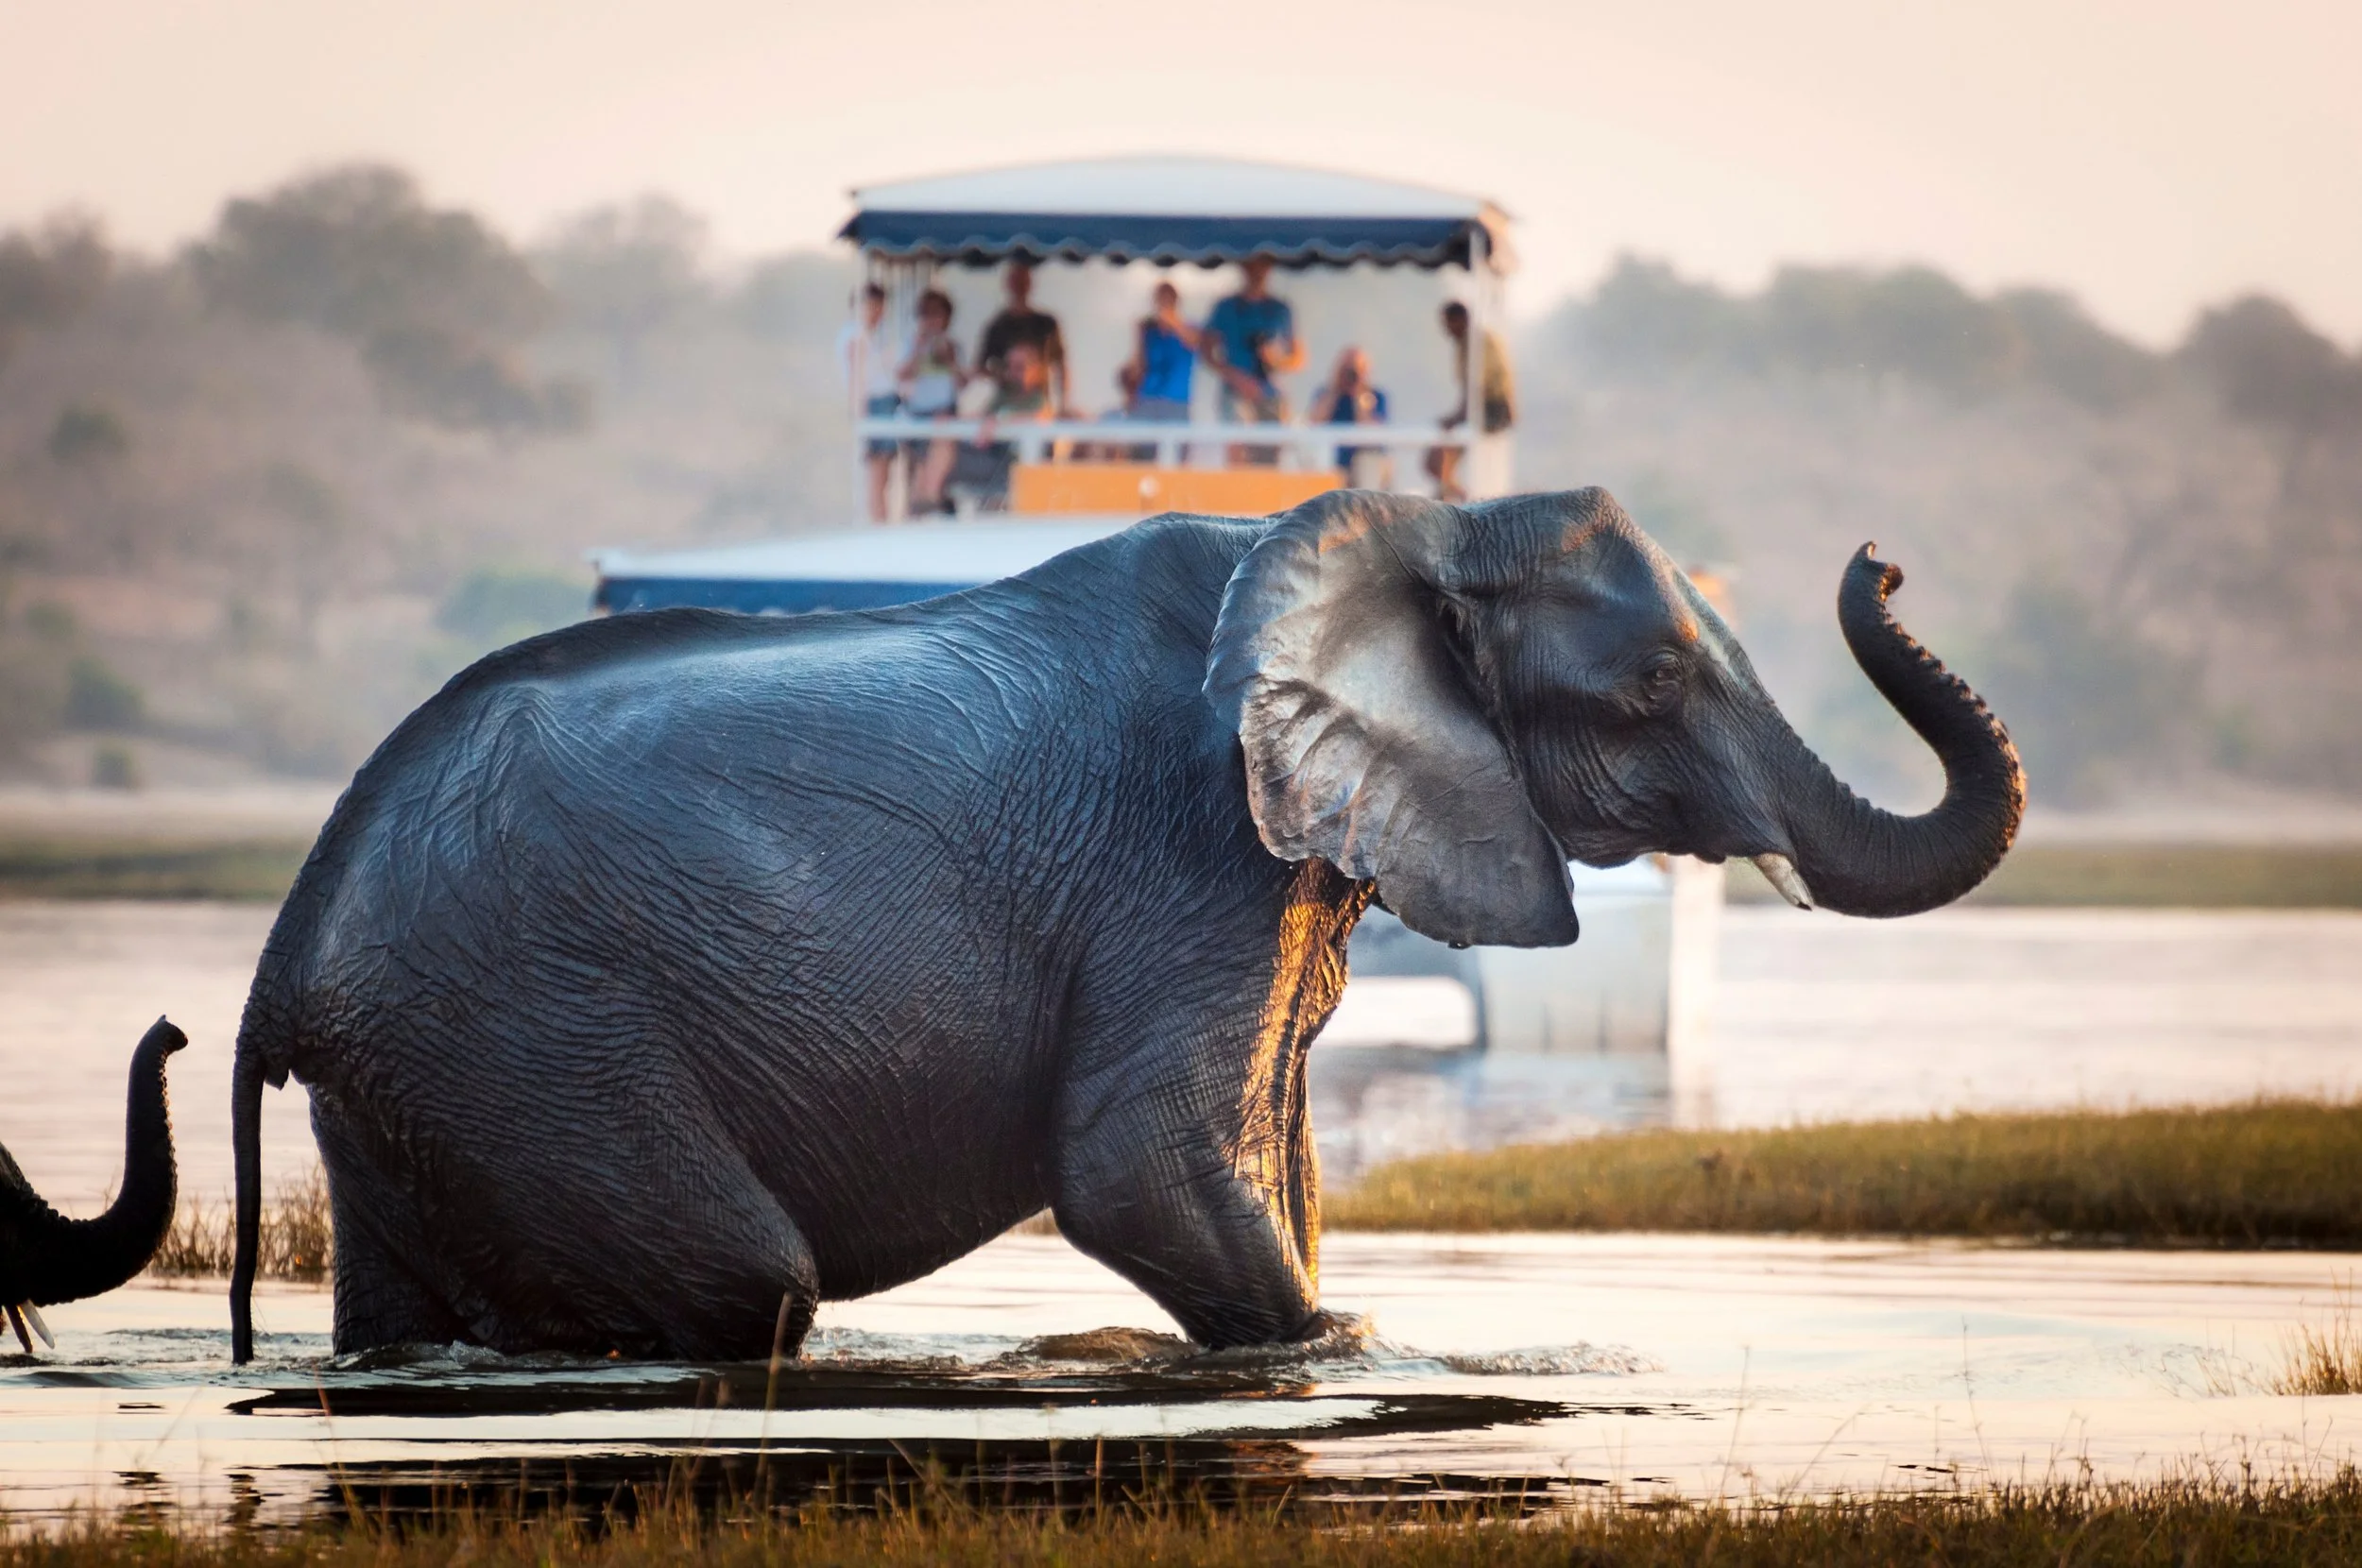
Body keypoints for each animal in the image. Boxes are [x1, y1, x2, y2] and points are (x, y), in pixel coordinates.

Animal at [229, 488, 2022, 1363]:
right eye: (1651, 683)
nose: (1883, 559)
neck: (1398, 532)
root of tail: (285, 959)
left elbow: (1272, 1160)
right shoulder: (1186, 852)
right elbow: (1139, 1164)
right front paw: (1345, 1350)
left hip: (430, 1077)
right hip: (529, 1033)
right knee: (745, 1282)